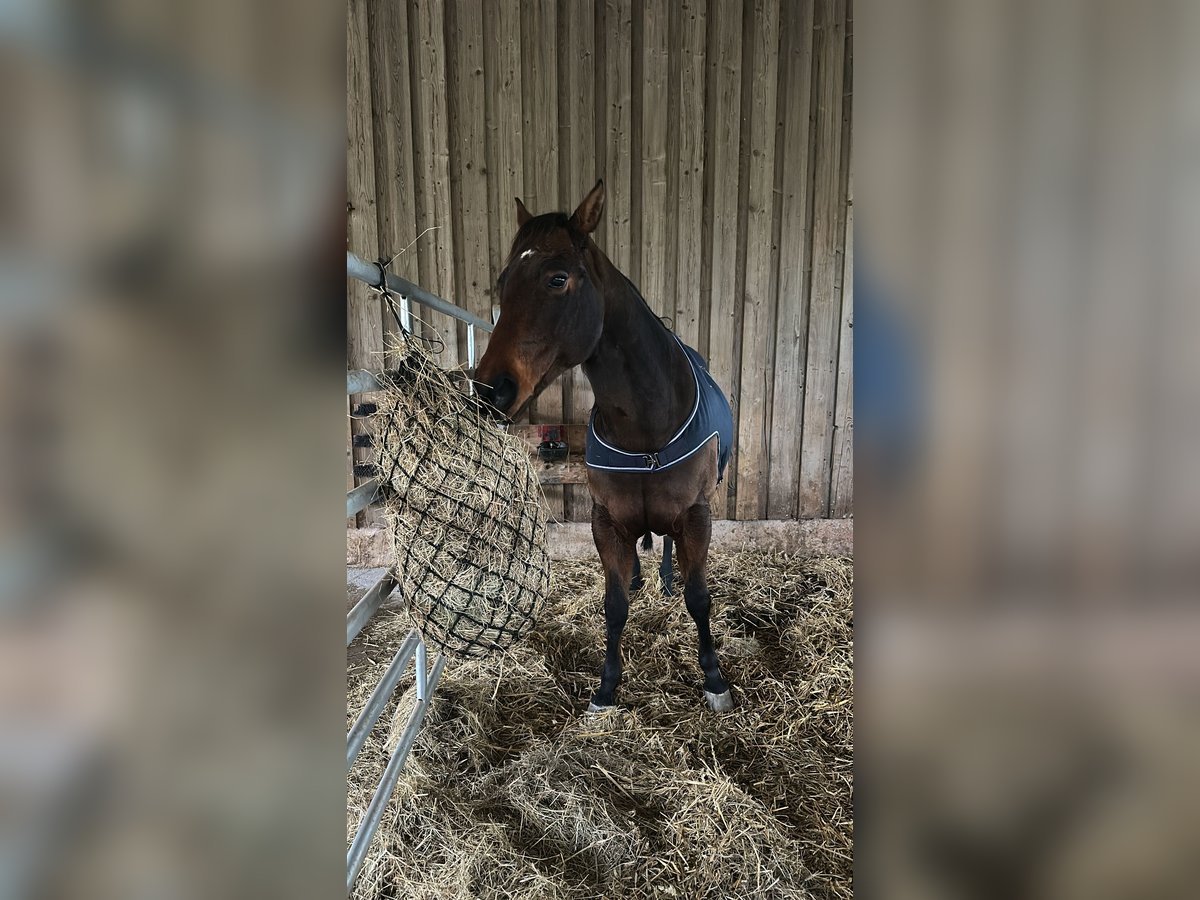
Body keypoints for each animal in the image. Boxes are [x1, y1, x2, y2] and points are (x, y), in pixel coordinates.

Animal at [475, 179, 735, 713]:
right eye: (504, 280)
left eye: (557, 279)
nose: (492, 390)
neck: (647, 429)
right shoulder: (605, 522)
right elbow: (614, 605)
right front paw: (606, 687)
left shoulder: (697, 517)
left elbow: (699, 599)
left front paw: (715, 680)